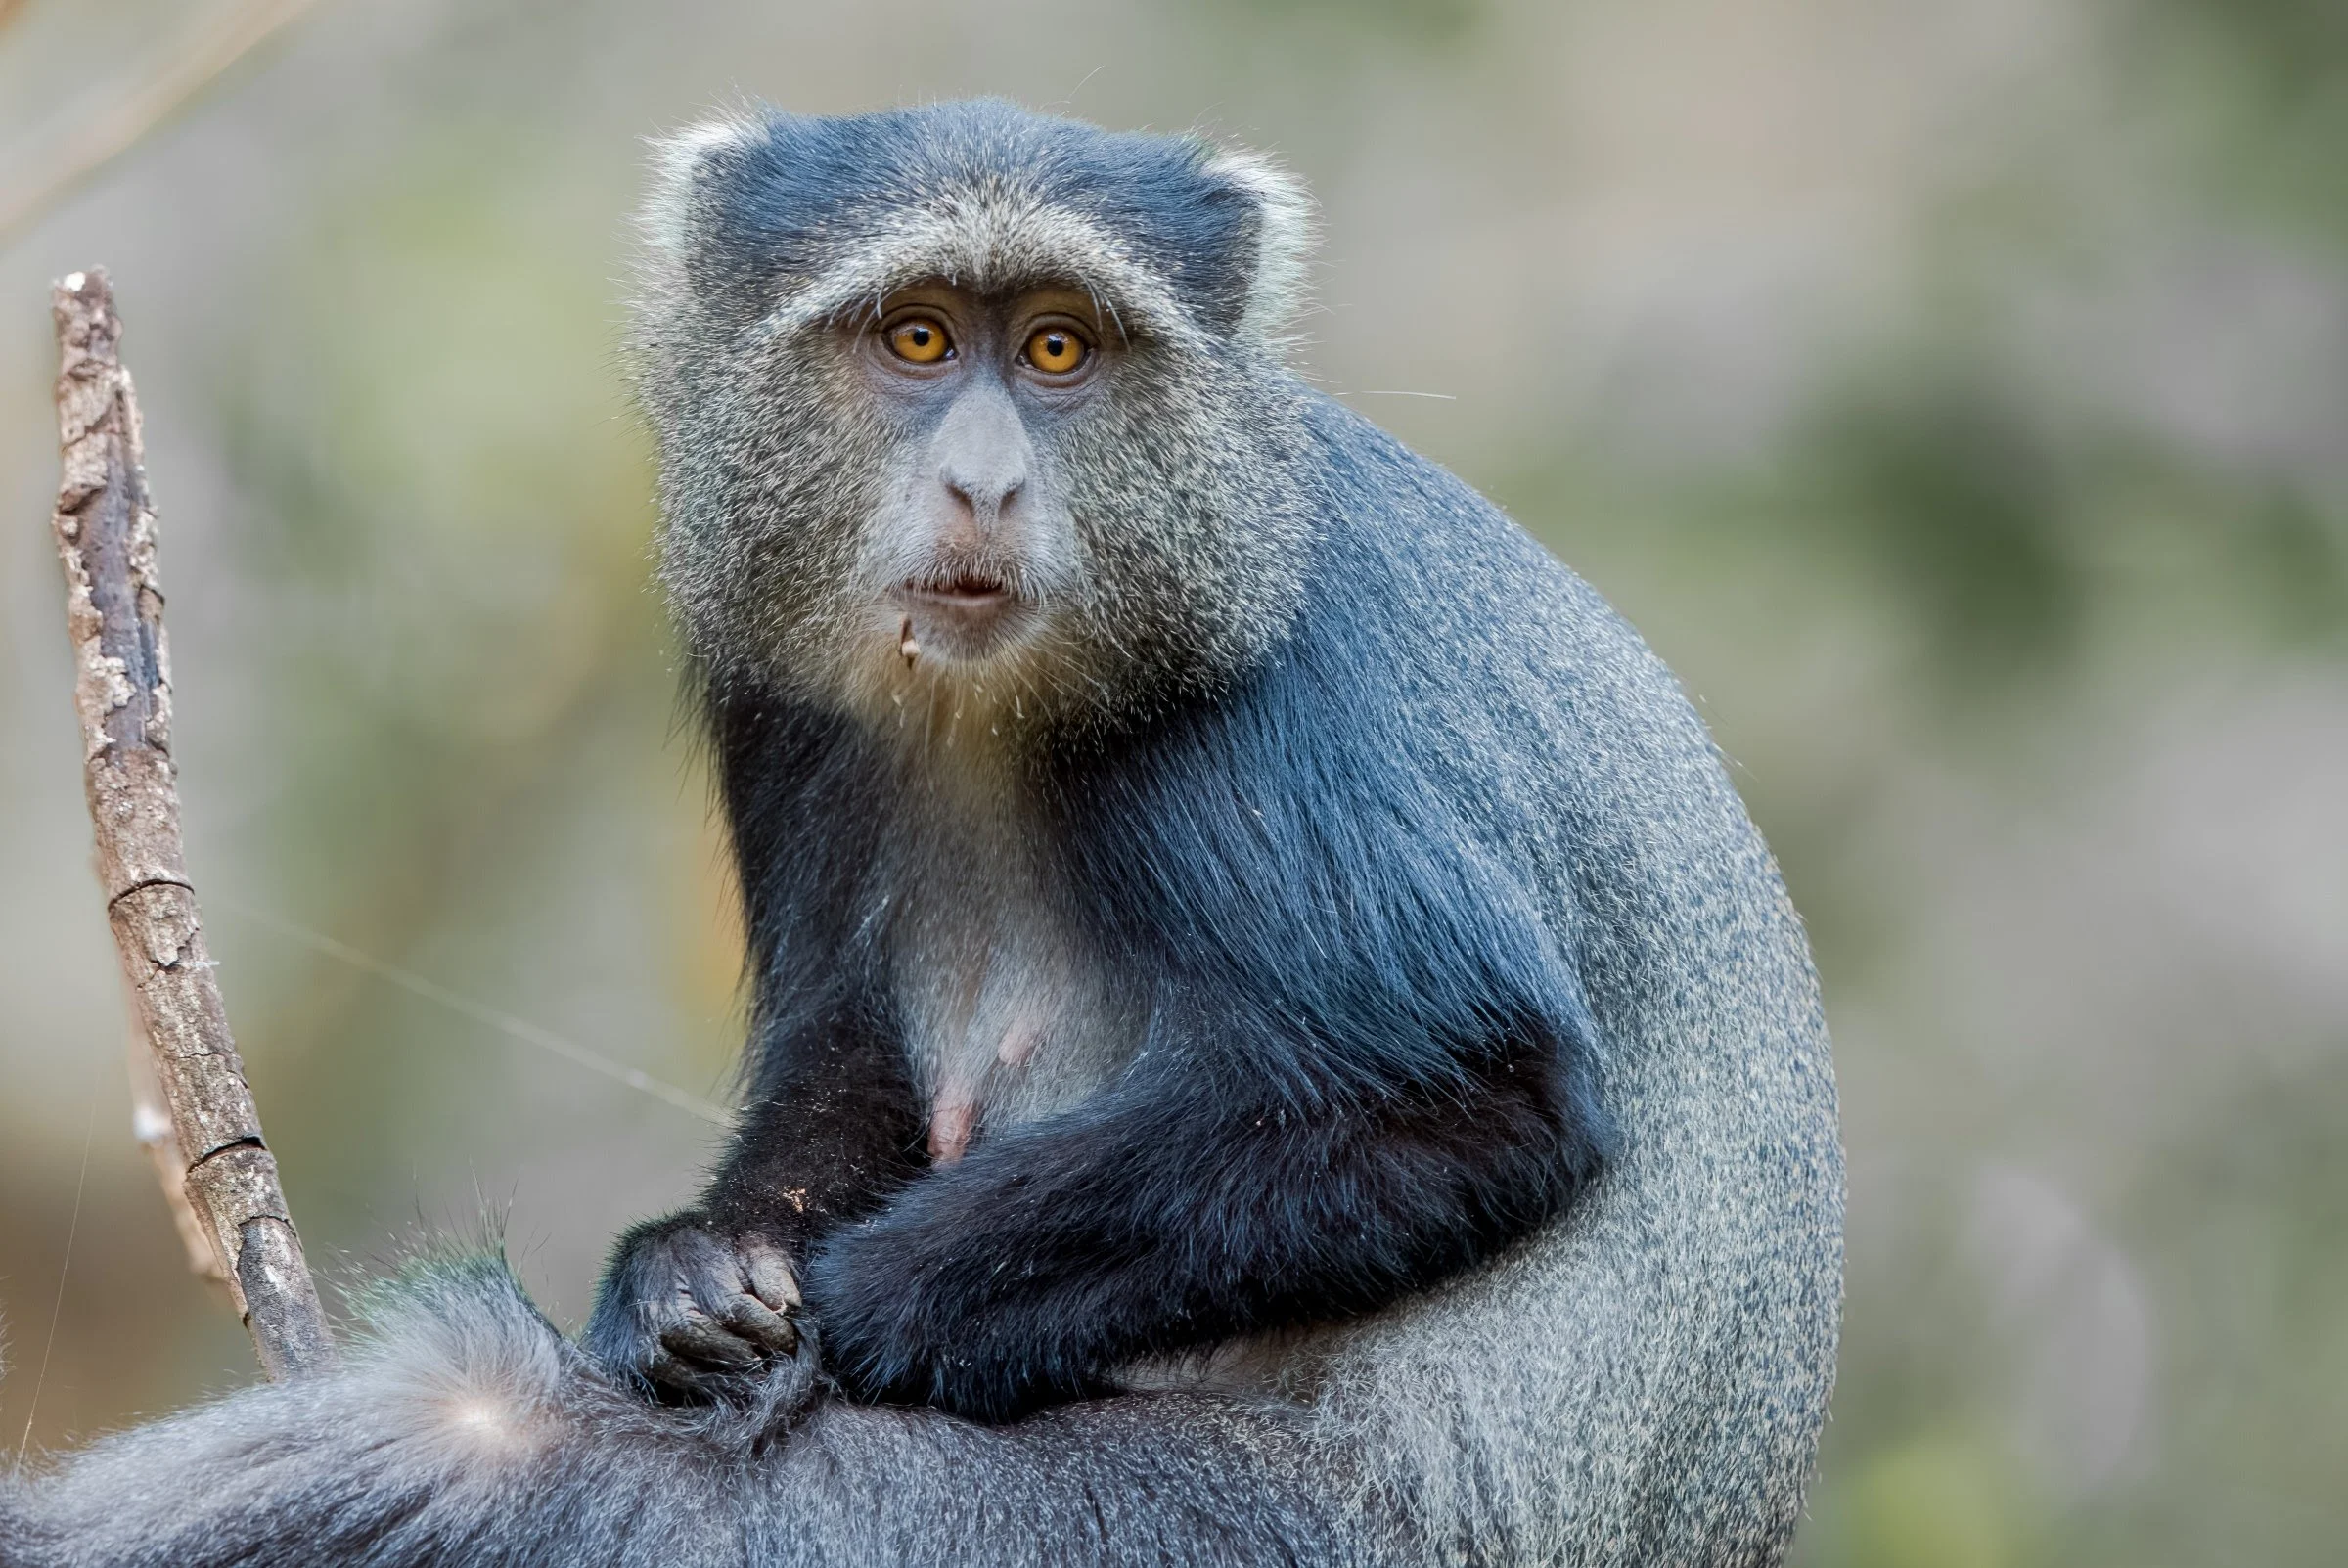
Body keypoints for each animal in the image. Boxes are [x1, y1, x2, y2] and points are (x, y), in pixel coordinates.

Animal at [0, 100, 1842, 1567]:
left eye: (1059, 350)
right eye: (915, 342)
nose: (985, 486)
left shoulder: (1251, 699)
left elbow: (1464, 1092)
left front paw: (848, 1316)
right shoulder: (774, 681)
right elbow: (848, 1048)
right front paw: (685, 1281)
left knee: (480, 1449)